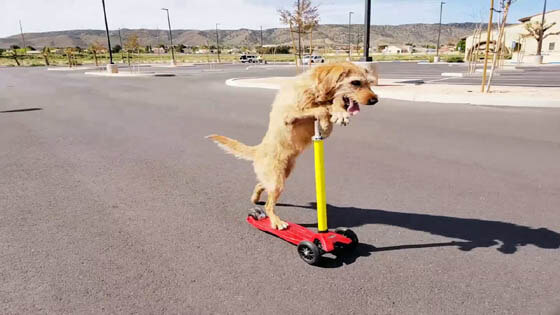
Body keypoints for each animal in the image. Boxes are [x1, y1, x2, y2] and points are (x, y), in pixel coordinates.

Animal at [208, 62, 378, 230]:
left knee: (261, 184)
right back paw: (276, 222)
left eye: (369, 82)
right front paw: (331, 116)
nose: (375, 100)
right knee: (269, 204)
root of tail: (258, 150)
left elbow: (328, 107)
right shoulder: (289, 116)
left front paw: (337, 113)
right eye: (355, 82)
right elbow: (321, 109)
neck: (313, 89)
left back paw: (255, 198)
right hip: (277, 180)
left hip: (283, 174)